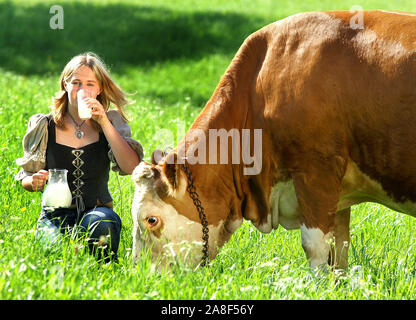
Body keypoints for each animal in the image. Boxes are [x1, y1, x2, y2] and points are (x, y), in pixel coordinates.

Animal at [132, 10, 416, 270]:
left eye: (151, 220)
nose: (142, 276)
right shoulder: (338, 194)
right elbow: (339, 254)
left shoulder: (316, 171)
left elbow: (315, 247)